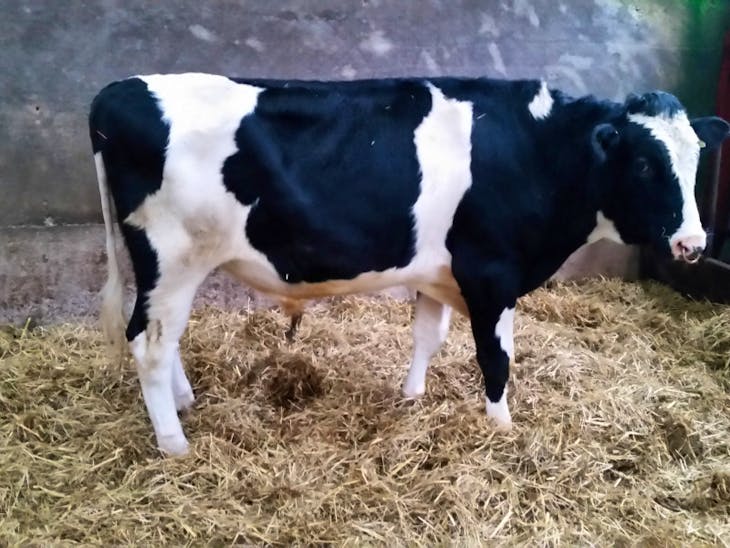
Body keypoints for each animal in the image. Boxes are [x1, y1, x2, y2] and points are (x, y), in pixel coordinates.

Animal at [89, 72, 729, 455]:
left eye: (697, 155)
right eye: (644, 163)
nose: (693, 243)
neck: (537, 152)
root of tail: (118, 89)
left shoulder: (441, 274)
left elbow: (427, 336)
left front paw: (412, 399)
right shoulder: (492, 271)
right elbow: (496, 356)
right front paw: (501, 428)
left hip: (170, 266)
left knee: (158, 336)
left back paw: (183, 404)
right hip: (172, 256)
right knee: (150, 343)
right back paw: (174, 443)